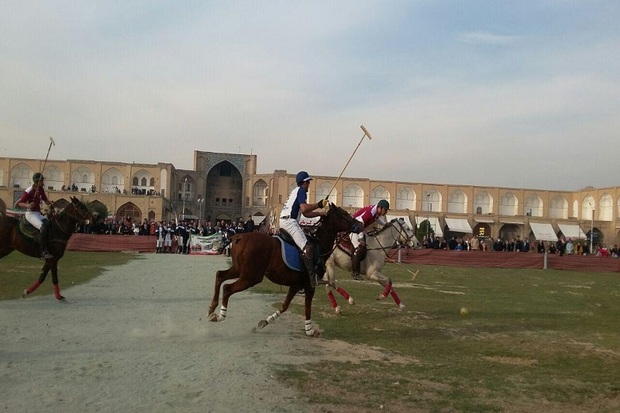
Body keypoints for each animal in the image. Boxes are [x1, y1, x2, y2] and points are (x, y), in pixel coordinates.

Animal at [208, 201, 364, 336]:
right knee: (227, 288)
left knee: (219, 275)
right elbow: (308, 308)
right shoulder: (309, 284)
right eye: (344, 214)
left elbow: (284, 306)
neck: (319, 244)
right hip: (250, 277)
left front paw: (265, 322)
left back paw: (211, 309)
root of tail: (239, 237)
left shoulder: (295, 284)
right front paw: (310, 330)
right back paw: (220, 315)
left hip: (239, 270)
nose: (360, 224)